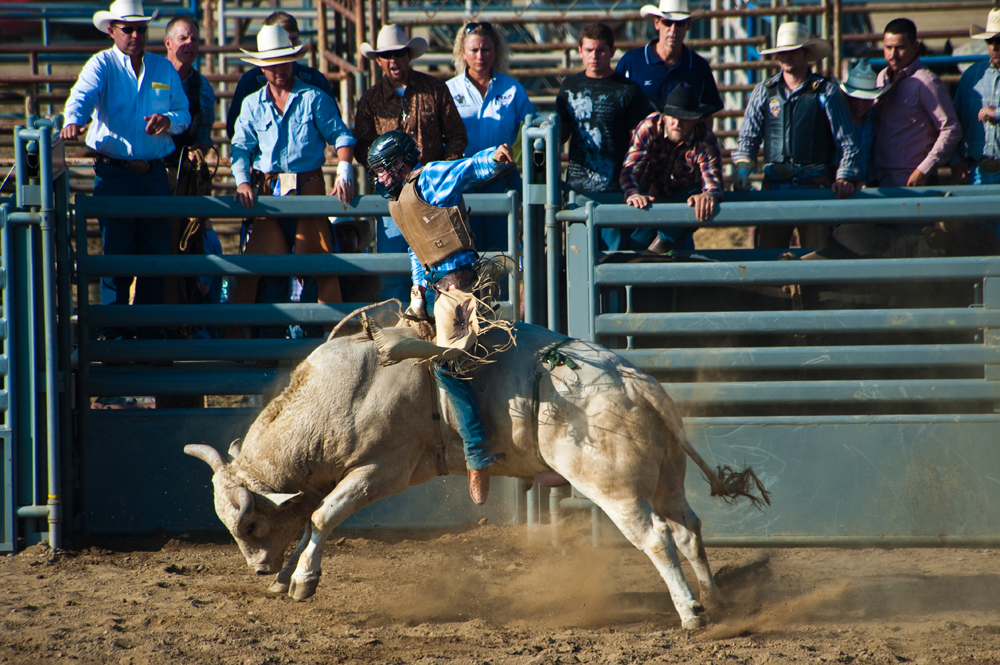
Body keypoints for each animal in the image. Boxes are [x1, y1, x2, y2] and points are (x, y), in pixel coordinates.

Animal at [185, 322, 768, 630]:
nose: (258, 567)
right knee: (689, 529)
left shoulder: (384, 469)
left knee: (657, 537)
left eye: (250, 525)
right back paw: (716, 600)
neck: (344, 395)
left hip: (616, 489)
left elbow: (324, 516)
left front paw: (302, 581)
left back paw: (691, 612)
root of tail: (638, 384)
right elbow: (310, 520)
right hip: (665, 478)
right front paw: (285, 579)